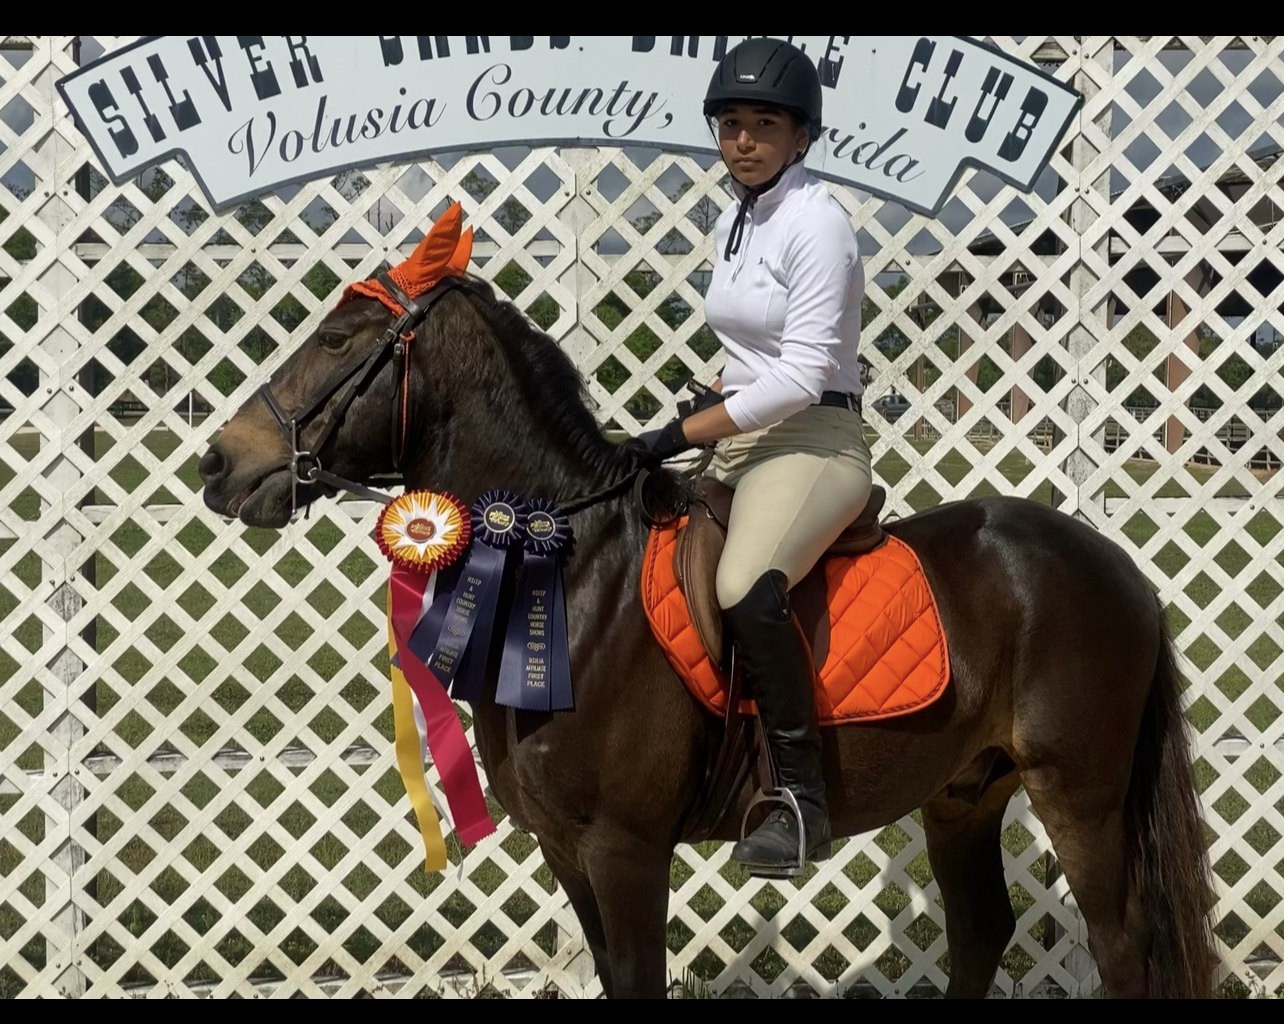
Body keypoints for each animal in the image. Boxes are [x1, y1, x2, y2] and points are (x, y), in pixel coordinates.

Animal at [197, 270, 1216, 999]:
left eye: (337, 339)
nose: (220, 464)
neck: (571, 571)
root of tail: (1118, 566)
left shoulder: (626, 850)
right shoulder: (567, 851)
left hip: (1078, 794)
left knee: (1121, 944)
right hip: (963, 794)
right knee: (980, 934)